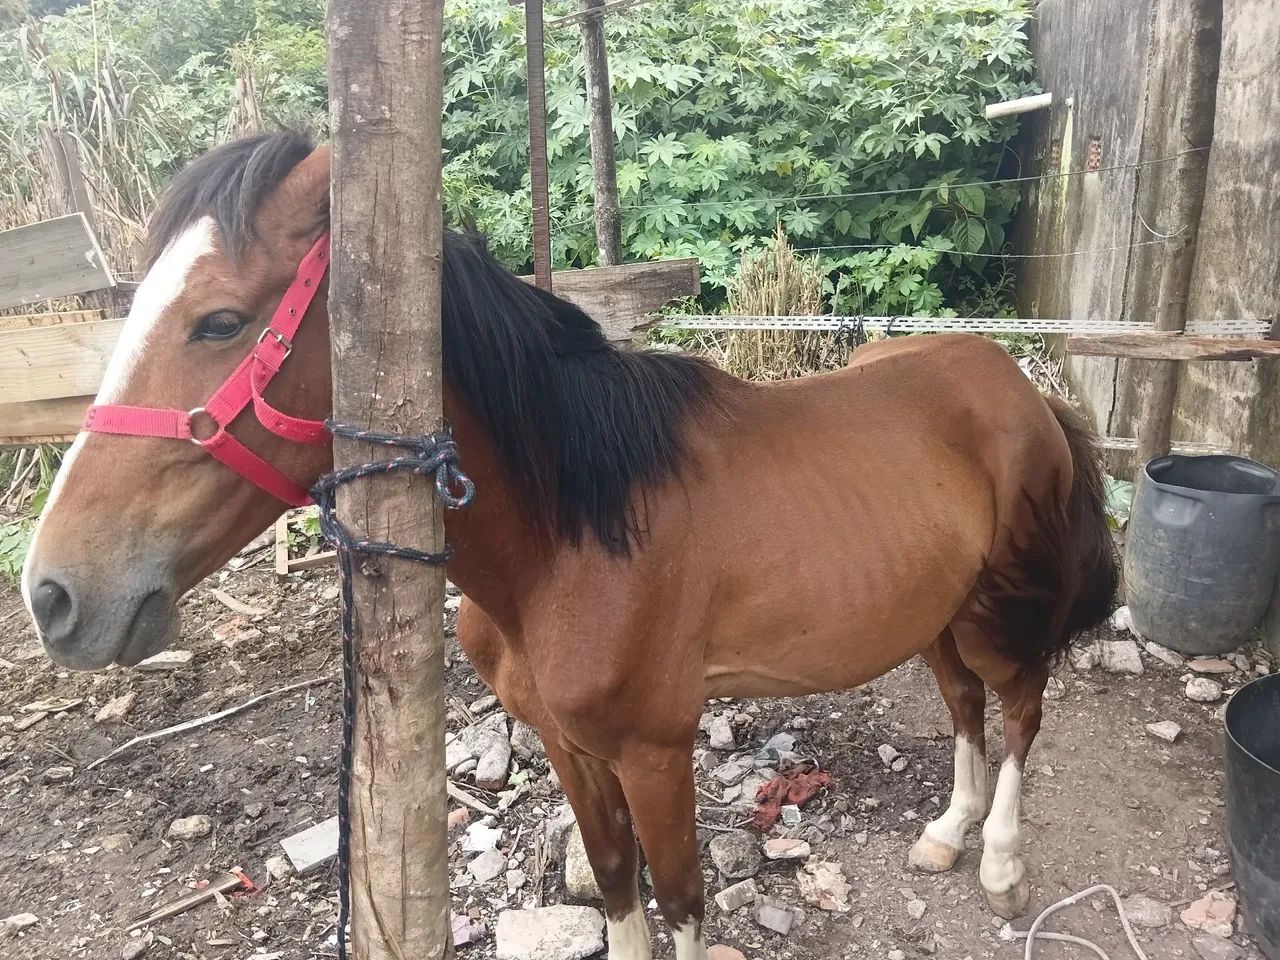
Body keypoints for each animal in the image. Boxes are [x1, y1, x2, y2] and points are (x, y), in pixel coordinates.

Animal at [22, 132, 1117, 960]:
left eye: (218, 320)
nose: (54, 594)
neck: (569, 540)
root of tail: (1020, 388)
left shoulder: (653, 752)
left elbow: (679, 897)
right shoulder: (565, 744)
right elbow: (616, 881)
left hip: (1002, 611)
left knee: (1019, 710)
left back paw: (1000, 861)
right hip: (938, 612)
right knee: (965, 706)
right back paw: (945, 835)